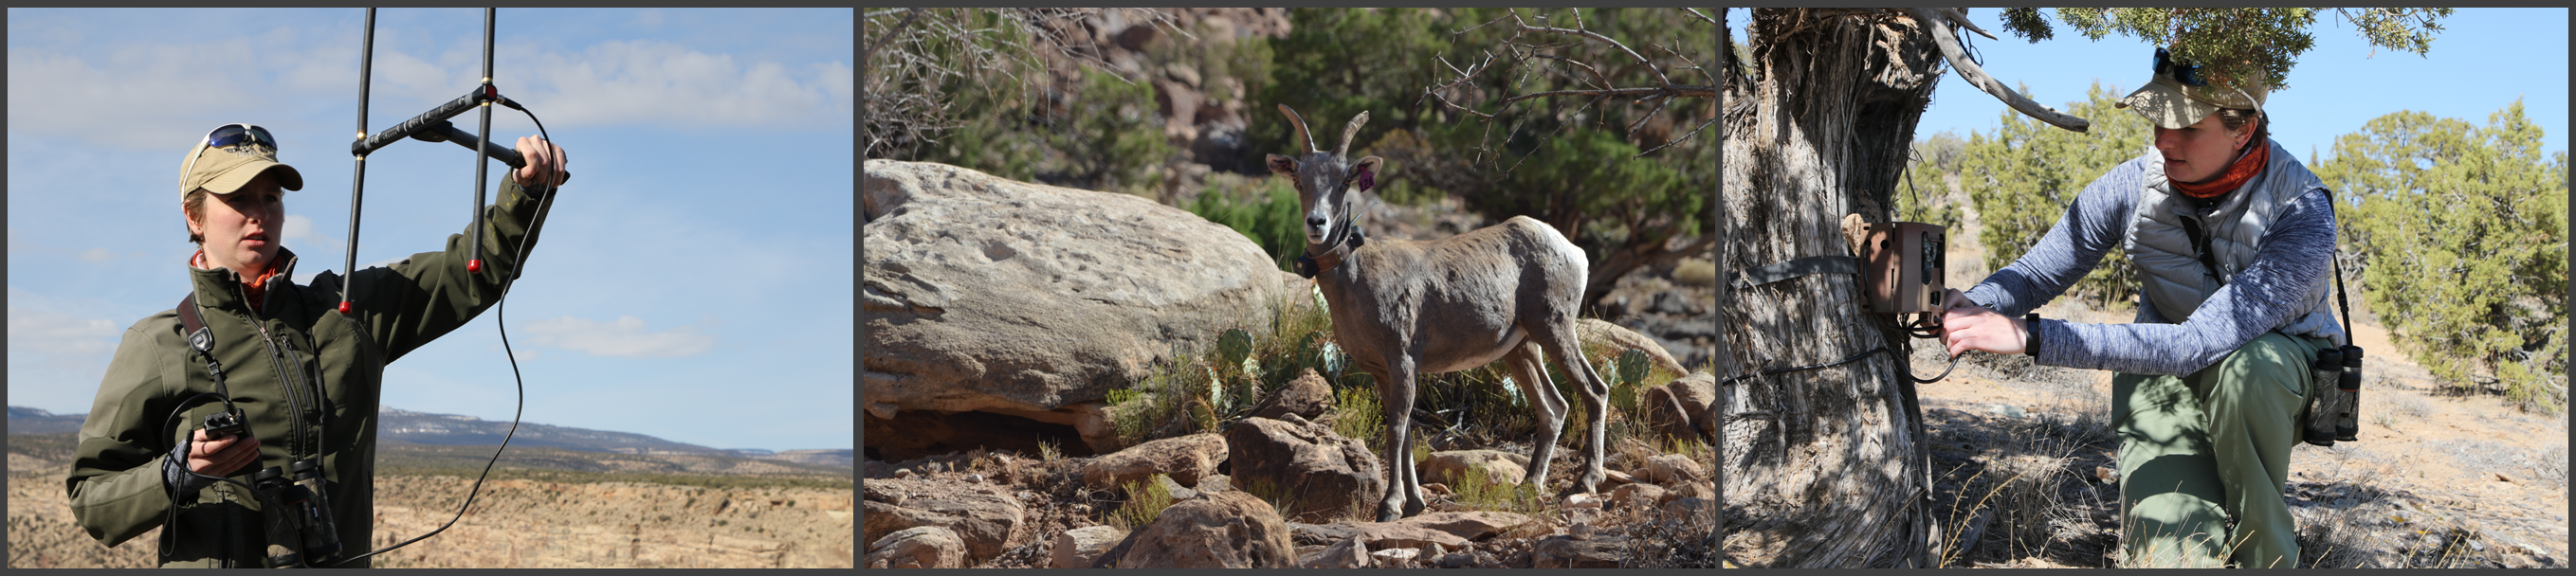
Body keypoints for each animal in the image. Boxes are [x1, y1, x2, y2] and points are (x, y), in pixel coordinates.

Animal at [1267, 103, 1607, 522]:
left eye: (1345, 180)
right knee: (1554, 408)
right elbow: (1407, 435)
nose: (1317, 223)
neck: (1356, 279)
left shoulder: (1403, 360)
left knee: (1594, 391)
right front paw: (1414, 503)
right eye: (1299, 180)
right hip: (1522, 348)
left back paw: (1585, 482)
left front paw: (1389, 507)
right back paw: (1529, 486)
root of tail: (1574, 252)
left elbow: (1396, 430)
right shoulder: (1381, 371)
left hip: (1555, 328)